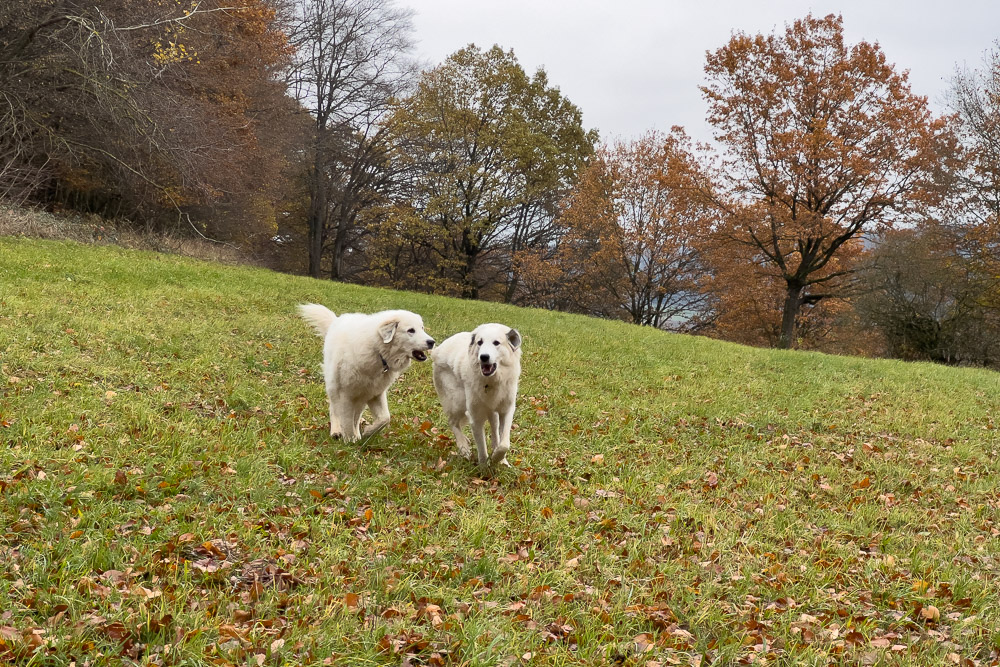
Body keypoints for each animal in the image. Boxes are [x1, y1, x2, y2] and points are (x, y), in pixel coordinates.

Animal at [298, 304, 436, 444]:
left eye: (422, 328)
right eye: (411, 330)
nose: (432, 342)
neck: (378, 351)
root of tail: (337, 320)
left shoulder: (375, 393)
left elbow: (384, 418)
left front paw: (367, 432)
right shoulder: (346, 394)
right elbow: (346, 419)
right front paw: (349, 441)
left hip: (361, 397)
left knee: (357, 415)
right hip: (334, 387)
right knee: (334, 409)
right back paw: (336, 431)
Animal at [432, 324, 524, 470]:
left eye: (496, 343)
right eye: (479, 342)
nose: (484, 357)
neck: (491, 382)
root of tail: (438, 350)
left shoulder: (506, 411)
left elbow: (504, 444)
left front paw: (499, 459)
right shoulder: (476, 418)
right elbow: (482, 448)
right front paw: (484, 468)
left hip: (491, 412)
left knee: (494, 429)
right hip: (458, 401)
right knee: (453, 422)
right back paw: (463, 447)